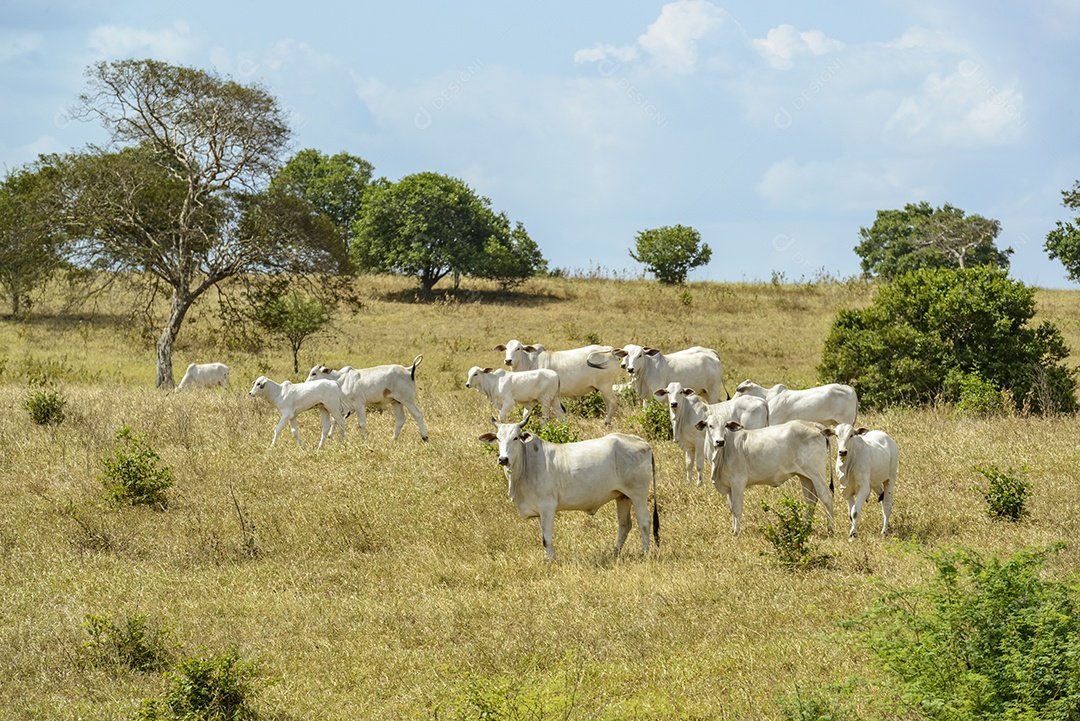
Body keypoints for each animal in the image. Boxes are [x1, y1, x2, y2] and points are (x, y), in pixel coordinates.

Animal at [479, 407, 656, 561]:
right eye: (498, 439)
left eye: (515, 437)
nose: (503, 459)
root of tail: (640, 440)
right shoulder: (539, 511)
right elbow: (543, 537)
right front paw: (547, 558)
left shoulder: (548, 507)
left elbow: (547, 538)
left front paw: (551, 561)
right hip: (623, 497)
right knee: (624, 525)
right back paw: (614, 553)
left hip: (638, 494)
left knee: (644, 522)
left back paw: (645, 553)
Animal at [494, 341, 622, 425]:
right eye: (506, 348)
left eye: (518, 348)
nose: (508, 360)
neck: (530, 361)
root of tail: (609, 350)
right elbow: (526, 414)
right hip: (603, 389)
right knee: (608, 404)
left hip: (606, 387)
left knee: (613, 402)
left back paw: (607, 422)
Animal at [691, 416, 833, 535]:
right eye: (710, 425)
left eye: (725, 425)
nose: (720, 441)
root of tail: (814, 425)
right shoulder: (729, 487)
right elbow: (731, 509)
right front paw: (733, 530)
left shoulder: (738, 483)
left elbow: (736, 509)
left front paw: (737, 533)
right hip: (806, 477)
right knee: (810, 500)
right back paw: (805, 528)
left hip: (817, 474)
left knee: (826, 496)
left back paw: (831, 529)